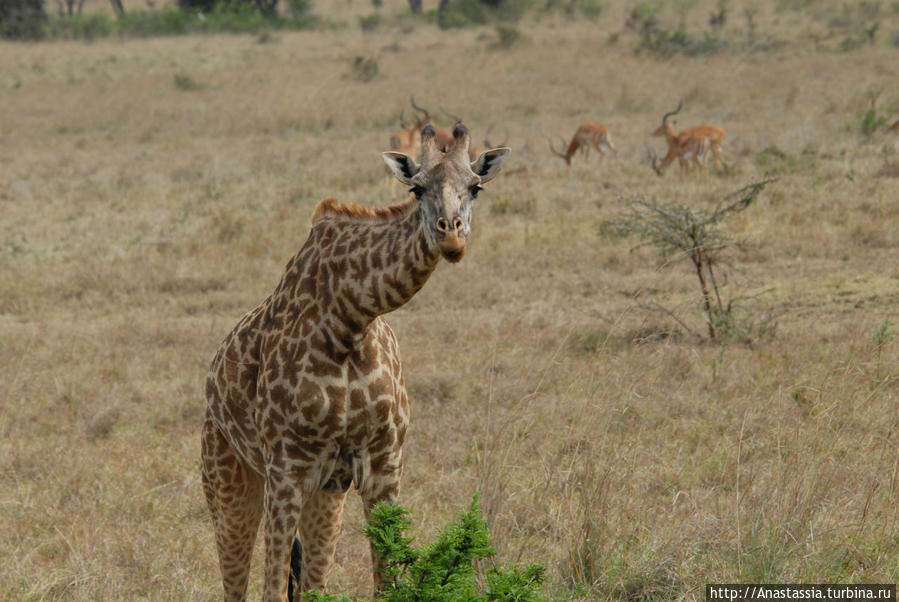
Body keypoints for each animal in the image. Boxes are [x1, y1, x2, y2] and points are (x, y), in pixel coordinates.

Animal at [200, 123, 510, 600]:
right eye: (417, 188)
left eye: (475, 187)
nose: (451, 236)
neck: (349, 321)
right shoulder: (286, 469)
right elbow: (272, 589)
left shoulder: (382, 465)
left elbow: (386, 584)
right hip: (229, 479)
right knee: (236, 585)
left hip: (326, 493)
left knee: (310, 584)